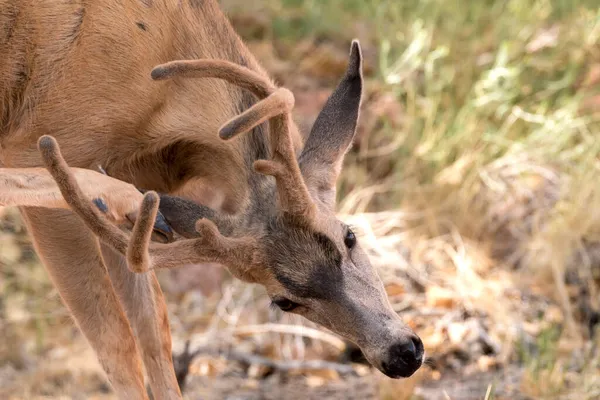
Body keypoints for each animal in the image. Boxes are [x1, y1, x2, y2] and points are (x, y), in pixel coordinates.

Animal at [0, 1, 424, 398]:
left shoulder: (126, 212)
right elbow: (115, 345)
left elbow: (155, 331)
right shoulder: (51, 141)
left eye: (349, 237)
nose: (403, 353)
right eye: (283, 301)